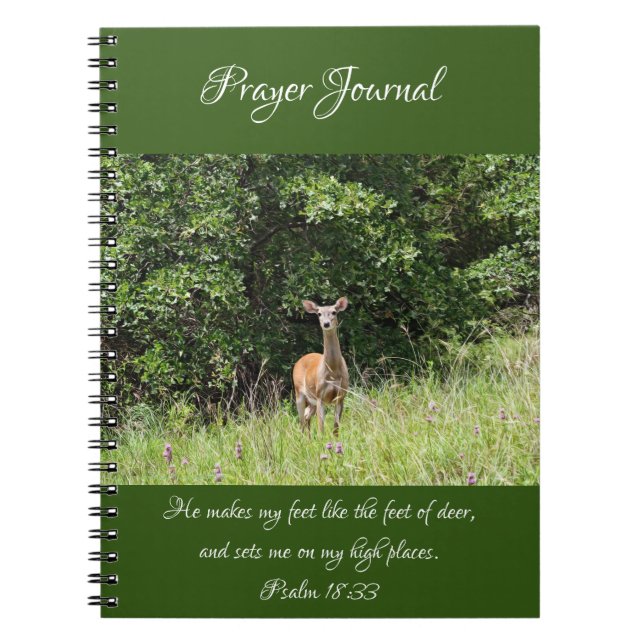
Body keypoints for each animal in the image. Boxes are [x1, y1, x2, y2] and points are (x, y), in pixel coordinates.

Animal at [293, 297, 349, 436]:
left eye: (334, 312)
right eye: (319, 313)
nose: (326, 324)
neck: (333, 371)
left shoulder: (341, 395)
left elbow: (336, 427)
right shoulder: (320, 396)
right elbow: (321, 427)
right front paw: (321, 439)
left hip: (311, 401)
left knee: (307, 416)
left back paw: (308, 438)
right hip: (299, 392)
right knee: (301, 421)